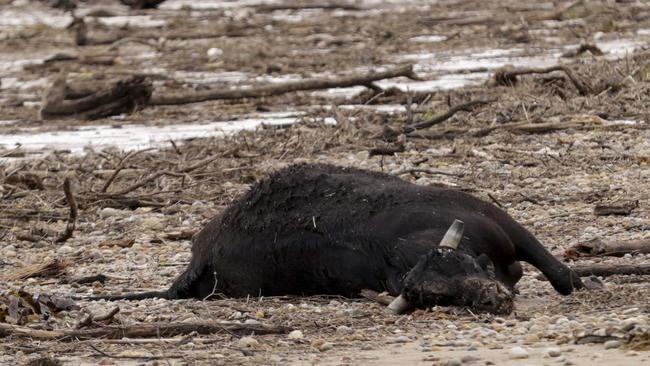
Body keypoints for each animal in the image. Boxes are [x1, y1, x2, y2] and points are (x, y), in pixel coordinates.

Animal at [95, 164, 584, 314]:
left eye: (459, 264)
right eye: (438, 298)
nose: (489, 297)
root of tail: (203, 250)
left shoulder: (498, 219)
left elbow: (557, 270)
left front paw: (582, 281)